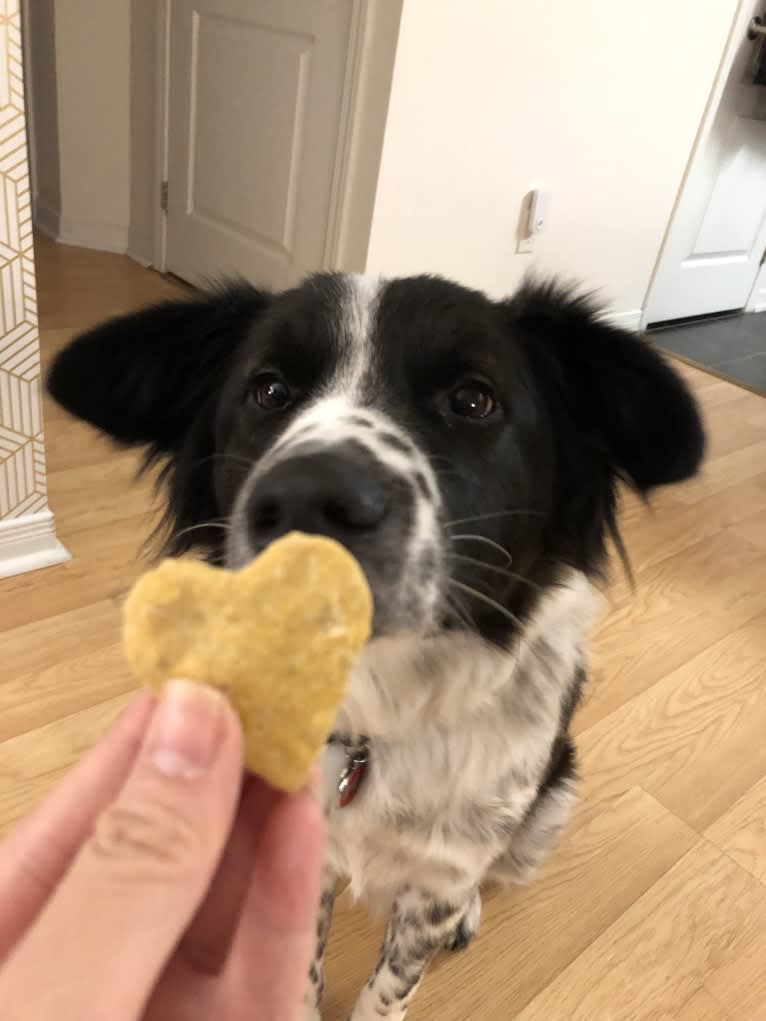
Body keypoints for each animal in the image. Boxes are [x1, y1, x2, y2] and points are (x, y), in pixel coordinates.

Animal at [48, 273, 706, 1021]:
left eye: (473, 399)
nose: (306, 499)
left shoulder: (444, 871)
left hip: (552, 798)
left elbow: (394, 979)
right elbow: (300, 967)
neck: (377, 717)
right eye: (268, 390)